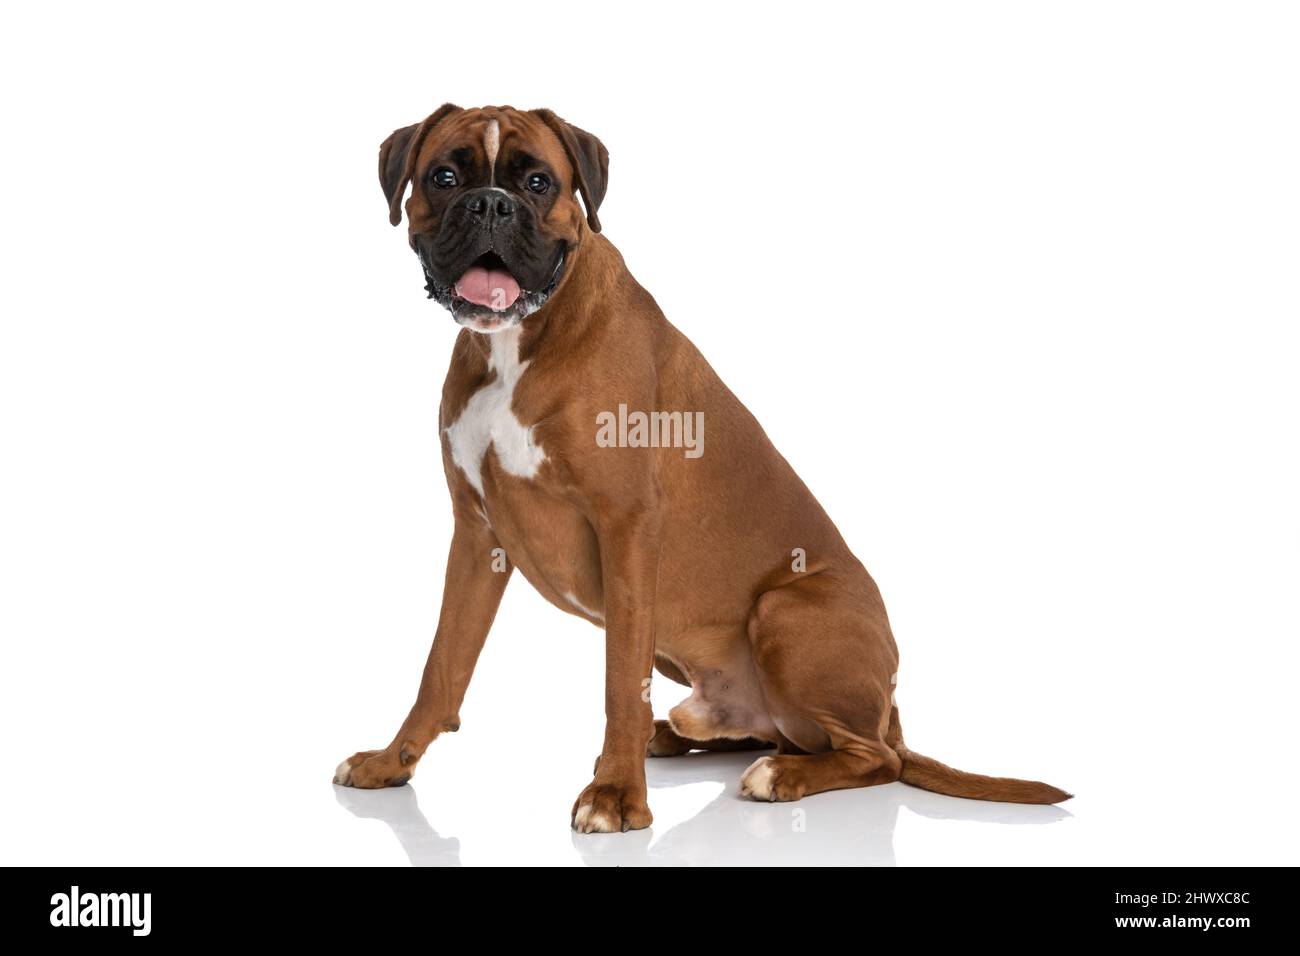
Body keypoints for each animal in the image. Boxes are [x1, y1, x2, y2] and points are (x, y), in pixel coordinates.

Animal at [332, 104, 1066, 832]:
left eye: (538, 182)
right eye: (445, 176)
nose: (491, 204)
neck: (516, 343)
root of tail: (894, 709)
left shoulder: (627, 529)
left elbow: (619, 681)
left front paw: (615, 795)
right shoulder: (477, 535)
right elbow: (442, 666)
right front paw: (391, 762)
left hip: (784, 611)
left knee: (871, 758)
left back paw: (780, 776)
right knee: (771, 731)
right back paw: (680, 738)